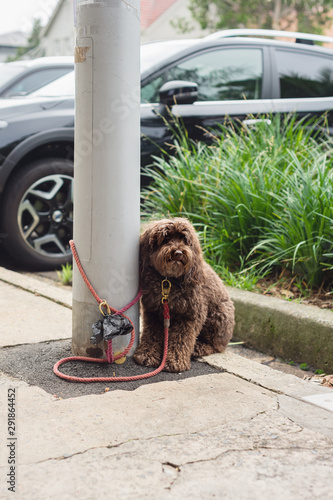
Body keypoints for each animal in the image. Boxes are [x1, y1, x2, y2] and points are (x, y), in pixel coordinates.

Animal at [132, 217, 233, 374]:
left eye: (185, 240)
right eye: (165, 238)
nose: (178, 253)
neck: (169, 281)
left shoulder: (191, 315)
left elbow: (182, 339)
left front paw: (175, 361)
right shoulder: (153, 312)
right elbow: (152, 334)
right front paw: (147, 354)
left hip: (219, 316)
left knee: (216, 346)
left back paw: (199, 347)